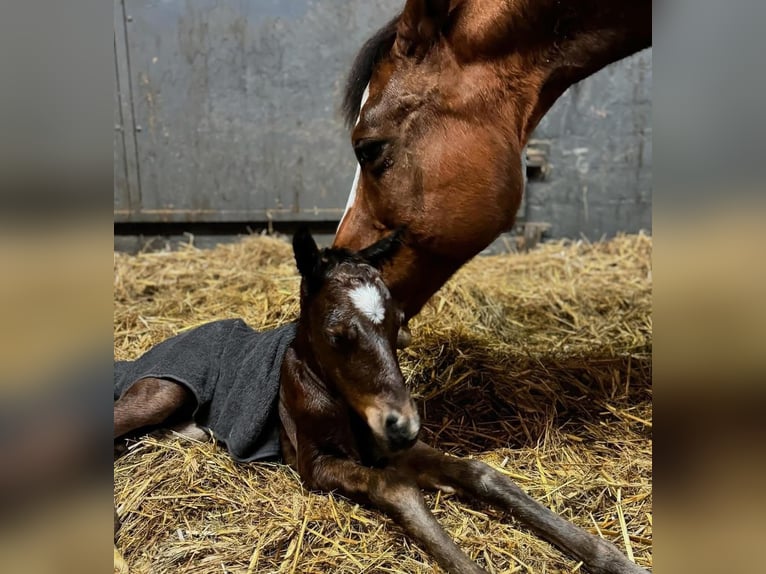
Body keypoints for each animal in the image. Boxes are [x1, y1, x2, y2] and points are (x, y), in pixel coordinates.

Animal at [114, 229, 645, 574]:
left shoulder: (392, 447)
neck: (345, 409)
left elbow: (481, 474)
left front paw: (616, 560)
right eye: (337, 334)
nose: (404, 424)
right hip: (164, 390)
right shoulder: (315, 465)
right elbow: (395, 489)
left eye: (399, 324)